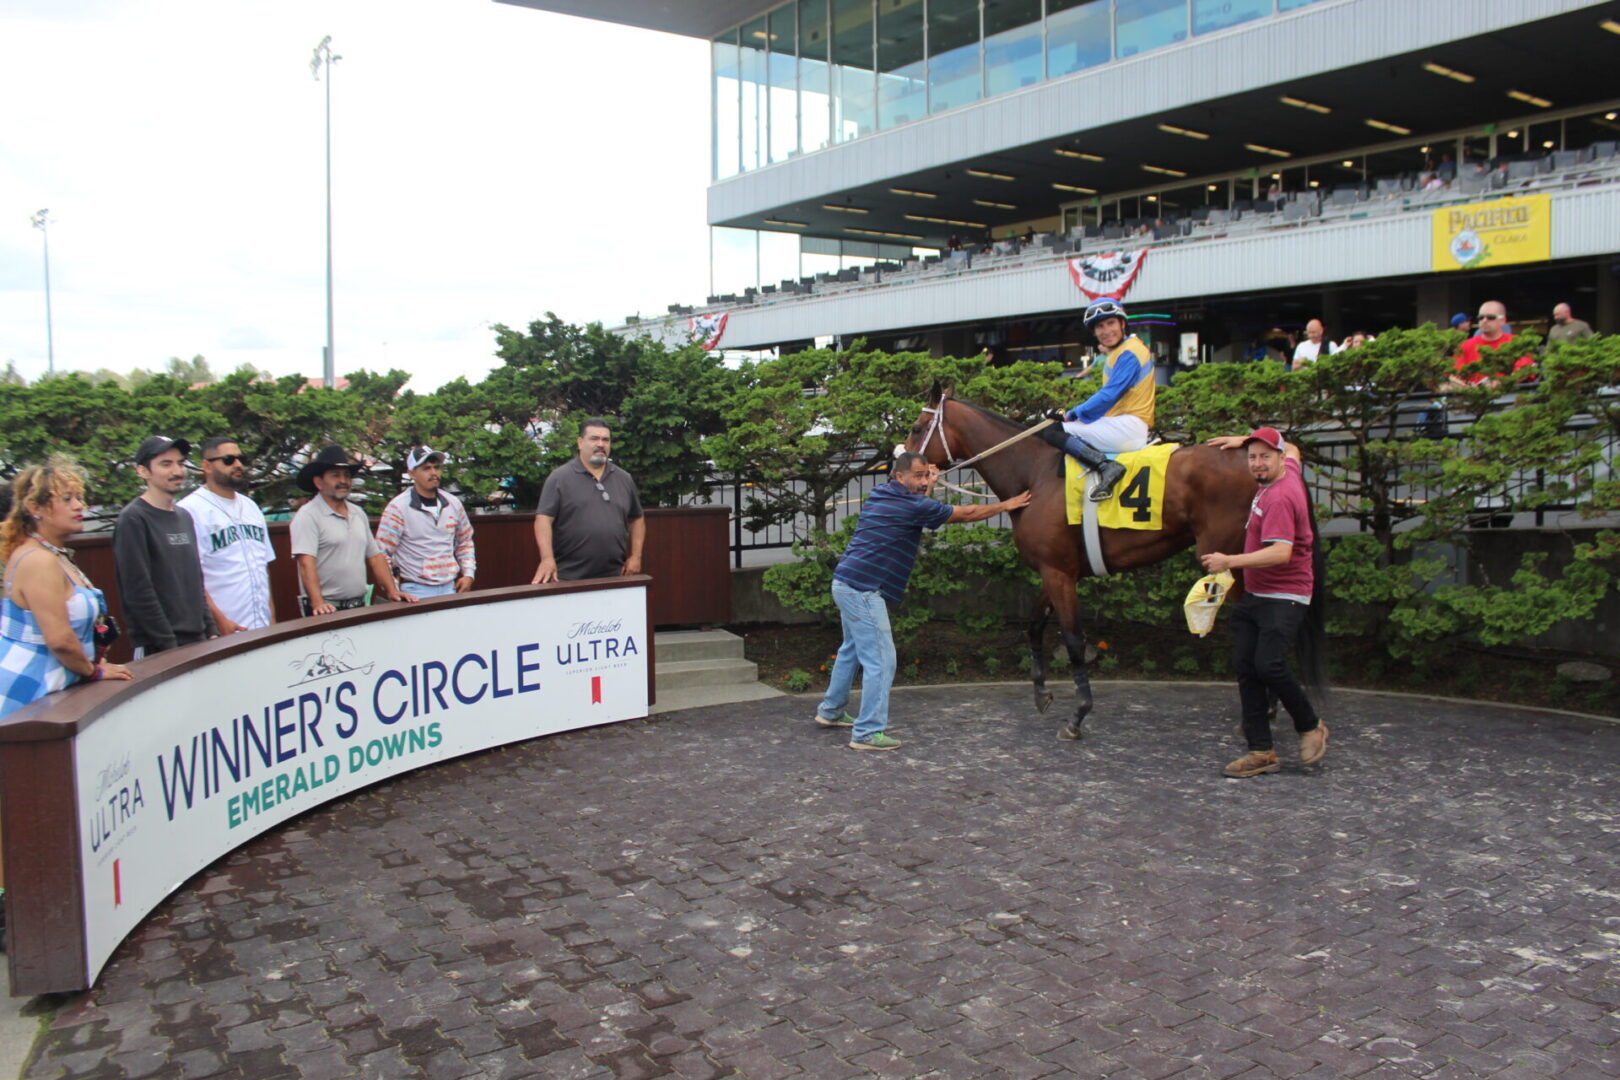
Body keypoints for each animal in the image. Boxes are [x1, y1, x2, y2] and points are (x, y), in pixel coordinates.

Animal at [905, 391, 1261, 739]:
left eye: (916, 427)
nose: (901, 460)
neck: (1035, 474)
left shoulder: (1058, 572)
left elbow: (1074, 639)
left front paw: (1078, 715)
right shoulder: (1058, 570)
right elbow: (1035, 626)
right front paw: (1041, 693)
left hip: (1226, 557)